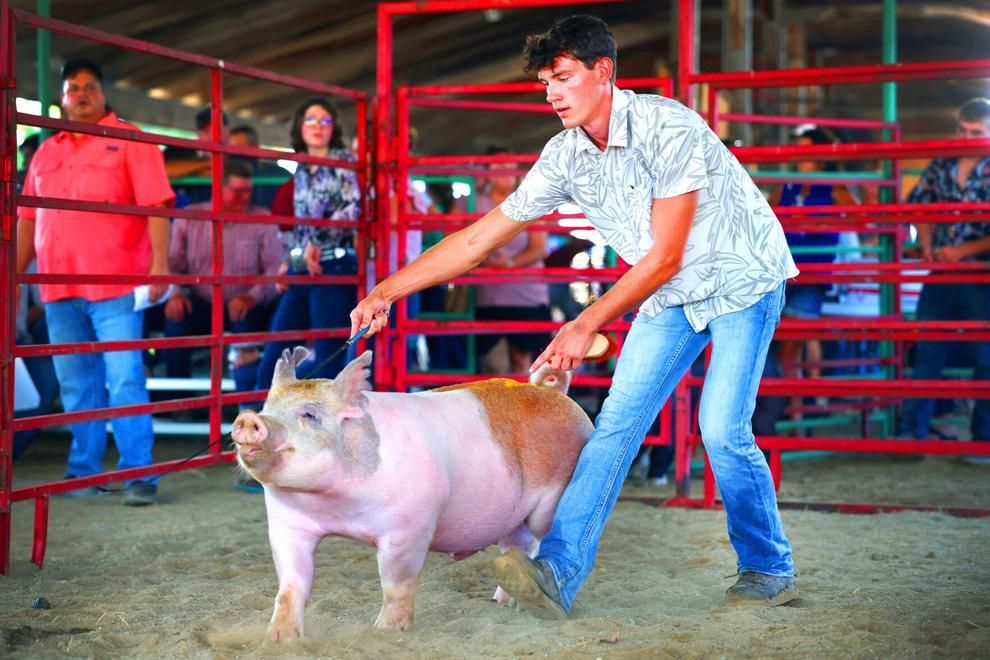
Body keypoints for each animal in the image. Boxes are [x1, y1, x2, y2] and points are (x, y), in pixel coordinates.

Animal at [230, 347, 592, 640]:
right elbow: (292, 585)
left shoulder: (410, 527)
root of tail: (553, 392)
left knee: (541, 540)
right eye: (266, 407)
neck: (337, 507)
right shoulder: (286, 525)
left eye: (310, 414)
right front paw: (278, 639)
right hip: (510, 516)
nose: (248, 420)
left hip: (554, 496)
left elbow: (395, 584)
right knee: (516, 545)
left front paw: (385, 632)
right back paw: (502, 601)